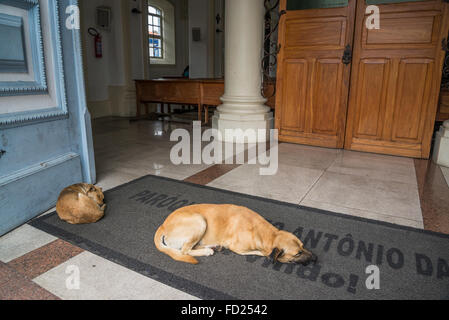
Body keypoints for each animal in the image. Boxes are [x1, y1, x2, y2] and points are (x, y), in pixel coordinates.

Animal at [154, 205, 316, 264]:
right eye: (297, 253)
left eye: (303, 246)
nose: (316, 258)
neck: (267, 233)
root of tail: (163, 225)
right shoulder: (239, 248)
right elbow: (259, 253)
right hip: (199, 221)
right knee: (185, 250)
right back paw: (207, 251)